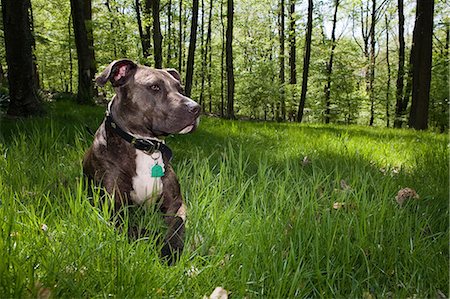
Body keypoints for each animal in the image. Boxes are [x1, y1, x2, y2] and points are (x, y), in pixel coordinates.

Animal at [82, 59, 200, 264]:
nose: (196, 108)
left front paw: (173, 248)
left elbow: (177, 225)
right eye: (154, 87)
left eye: (179, 88)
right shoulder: (114, 210)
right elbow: (144, 231)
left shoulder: (176, 204)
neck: (145, 147)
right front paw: (163, 246)